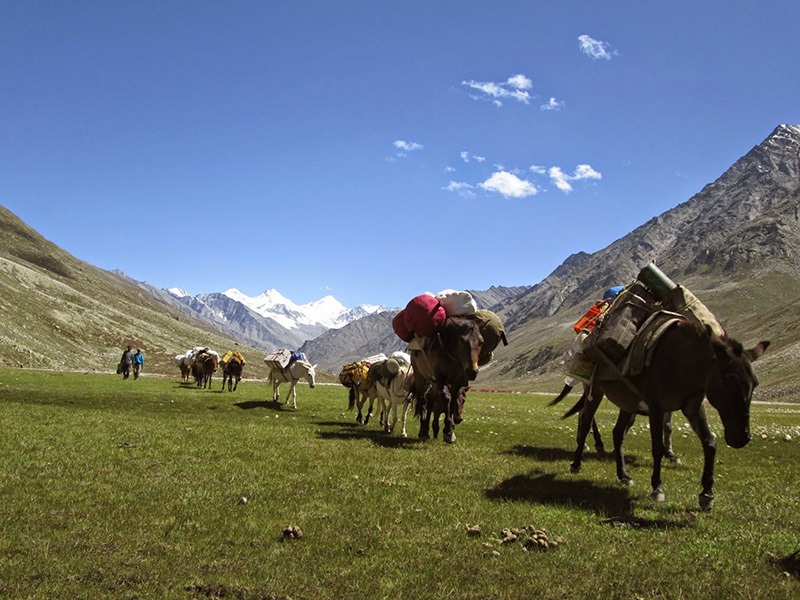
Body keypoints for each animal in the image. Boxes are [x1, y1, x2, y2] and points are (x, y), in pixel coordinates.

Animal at [568, 322, 768, 508]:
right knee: (586, 423)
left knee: (618, 434)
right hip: (595, 390)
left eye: (755, 383)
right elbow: (657, 447)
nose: (741, 438)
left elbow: (710, 442)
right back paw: (576, 464)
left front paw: (707, 494)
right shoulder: (656, 407)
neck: (681, 363)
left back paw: (624, 475)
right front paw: (657, 488)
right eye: (728, 379)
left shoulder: (693, 406)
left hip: (628, 402)